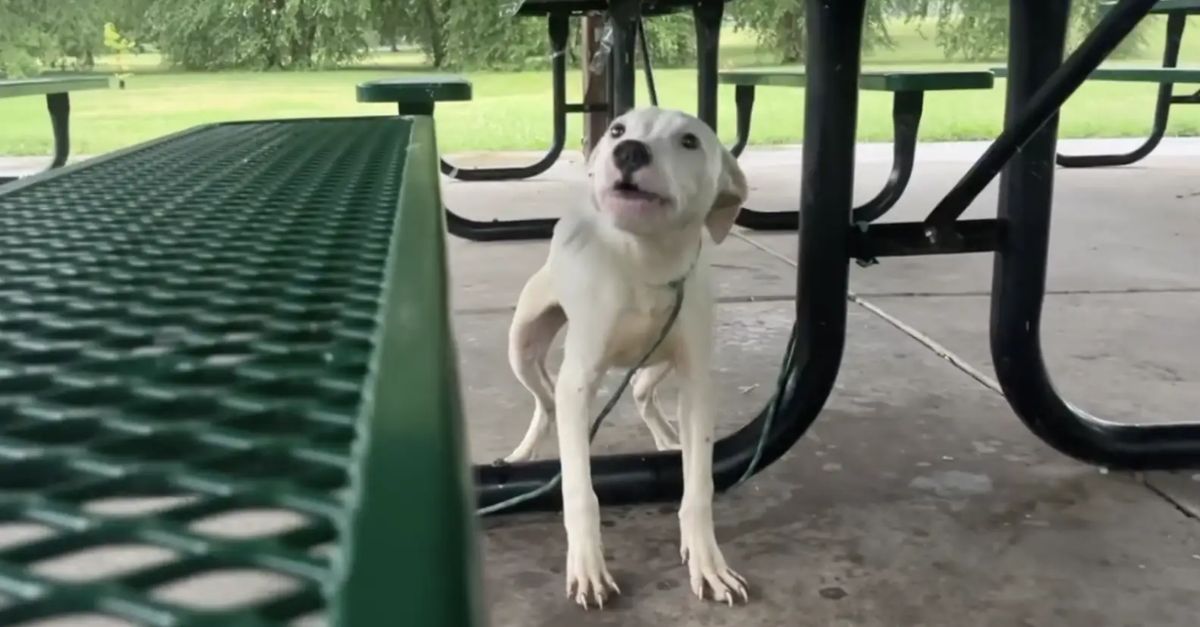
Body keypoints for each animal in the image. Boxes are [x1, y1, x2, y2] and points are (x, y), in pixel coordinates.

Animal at [506, 106, 748, 605]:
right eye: (618, 129)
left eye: (690, 141)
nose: (629, 151)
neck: (644, 263)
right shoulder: (579, 379)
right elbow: (580, 490)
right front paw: (588, 567)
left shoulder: (697, 382)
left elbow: (699, 485)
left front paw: (707, 561)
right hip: (521, 345)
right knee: (547, 403)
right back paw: (524, 453)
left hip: (659, 360)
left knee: (638, 391)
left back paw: (668, 439)